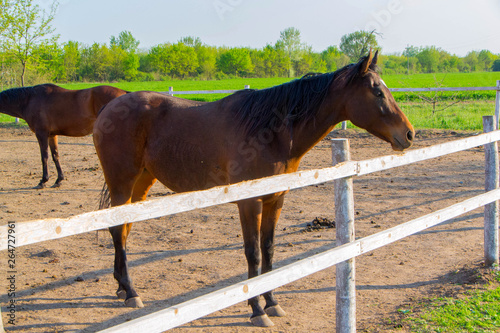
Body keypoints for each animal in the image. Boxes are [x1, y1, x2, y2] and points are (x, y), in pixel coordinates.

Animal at [0, 83, 128, 187]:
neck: (29, 100)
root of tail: (124, 93)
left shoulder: (41, 133)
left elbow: (44, 157)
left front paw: (43, 181)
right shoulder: (52, 135)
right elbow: (55, 156)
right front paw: (58, 180)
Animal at [94, 50, 414, 326]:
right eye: (377, 92)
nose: (409, 134)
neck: (269, 132)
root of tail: (109, 107)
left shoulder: (275, 200)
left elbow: (269, 250)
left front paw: (272, 302)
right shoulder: (250, 203)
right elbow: (254, 254)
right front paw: (257, 310)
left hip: (141, 184)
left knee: (123, 229)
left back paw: (121, 287)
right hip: (123, 183)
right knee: (117, 230)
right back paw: (131, 292)